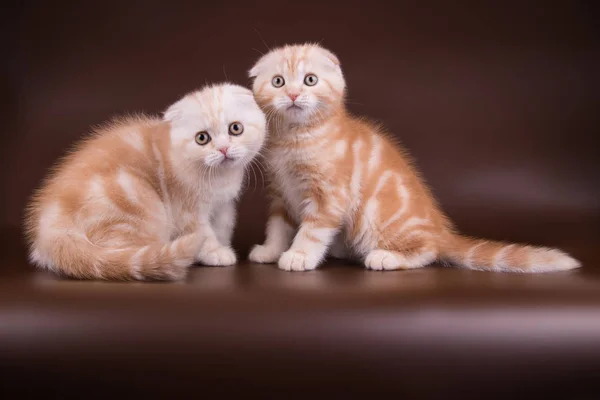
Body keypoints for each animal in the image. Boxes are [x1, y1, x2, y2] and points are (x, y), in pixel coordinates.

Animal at [25, 83, 264, 280]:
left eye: (235, 128)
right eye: (202, 138)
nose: (223, 149)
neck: (219, 179)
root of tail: (50, 224)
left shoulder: (223, 204)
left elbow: (224, 225)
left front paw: (223, 246)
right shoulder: (186, 210)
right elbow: (204, 233)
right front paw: (215, 252)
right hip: (138, 200)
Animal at [246, 44, 580, 276]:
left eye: (310, 80)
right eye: (278, 82)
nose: (292, 94)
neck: (293, 141)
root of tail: (440, 230)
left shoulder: (329, 196)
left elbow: (312, 230)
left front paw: (299, 255)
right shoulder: (281, 193)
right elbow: (278, 225)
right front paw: (270, 250)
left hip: (376, 220)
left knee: (428, 252)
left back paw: (385, 256)